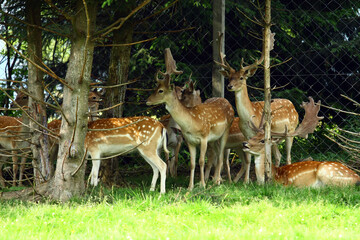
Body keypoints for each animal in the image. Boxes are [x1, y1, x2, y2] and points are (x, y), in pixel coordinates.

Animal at [148, 47, 235, 189]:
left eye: (160, 90)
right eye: (155, 88)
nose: (147, 100)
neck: (191, 123)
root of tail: (227, 101)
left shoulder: (204, 138)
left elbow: (201, 161)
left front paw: (203, 185)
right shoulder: (189, 141)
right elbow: (193, 163)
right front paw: (190, 186)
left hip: (226, 130)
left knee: (221, 155)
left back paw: (217, 181)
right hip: (214, 139)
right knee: (217, 155)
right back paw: (215, 180)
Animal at [215, 32, 300, 184]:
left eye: (242, 77)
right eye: (230, 77)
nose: (229, 86)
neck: (249, 116)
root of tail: (293, 106)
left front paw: (250, 181)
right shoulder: (247, 135)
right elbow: (249, 158)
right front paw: (247, 182)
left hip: (291, 130)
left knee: (288, 155)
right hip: (276, 137)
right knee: (278, 155)